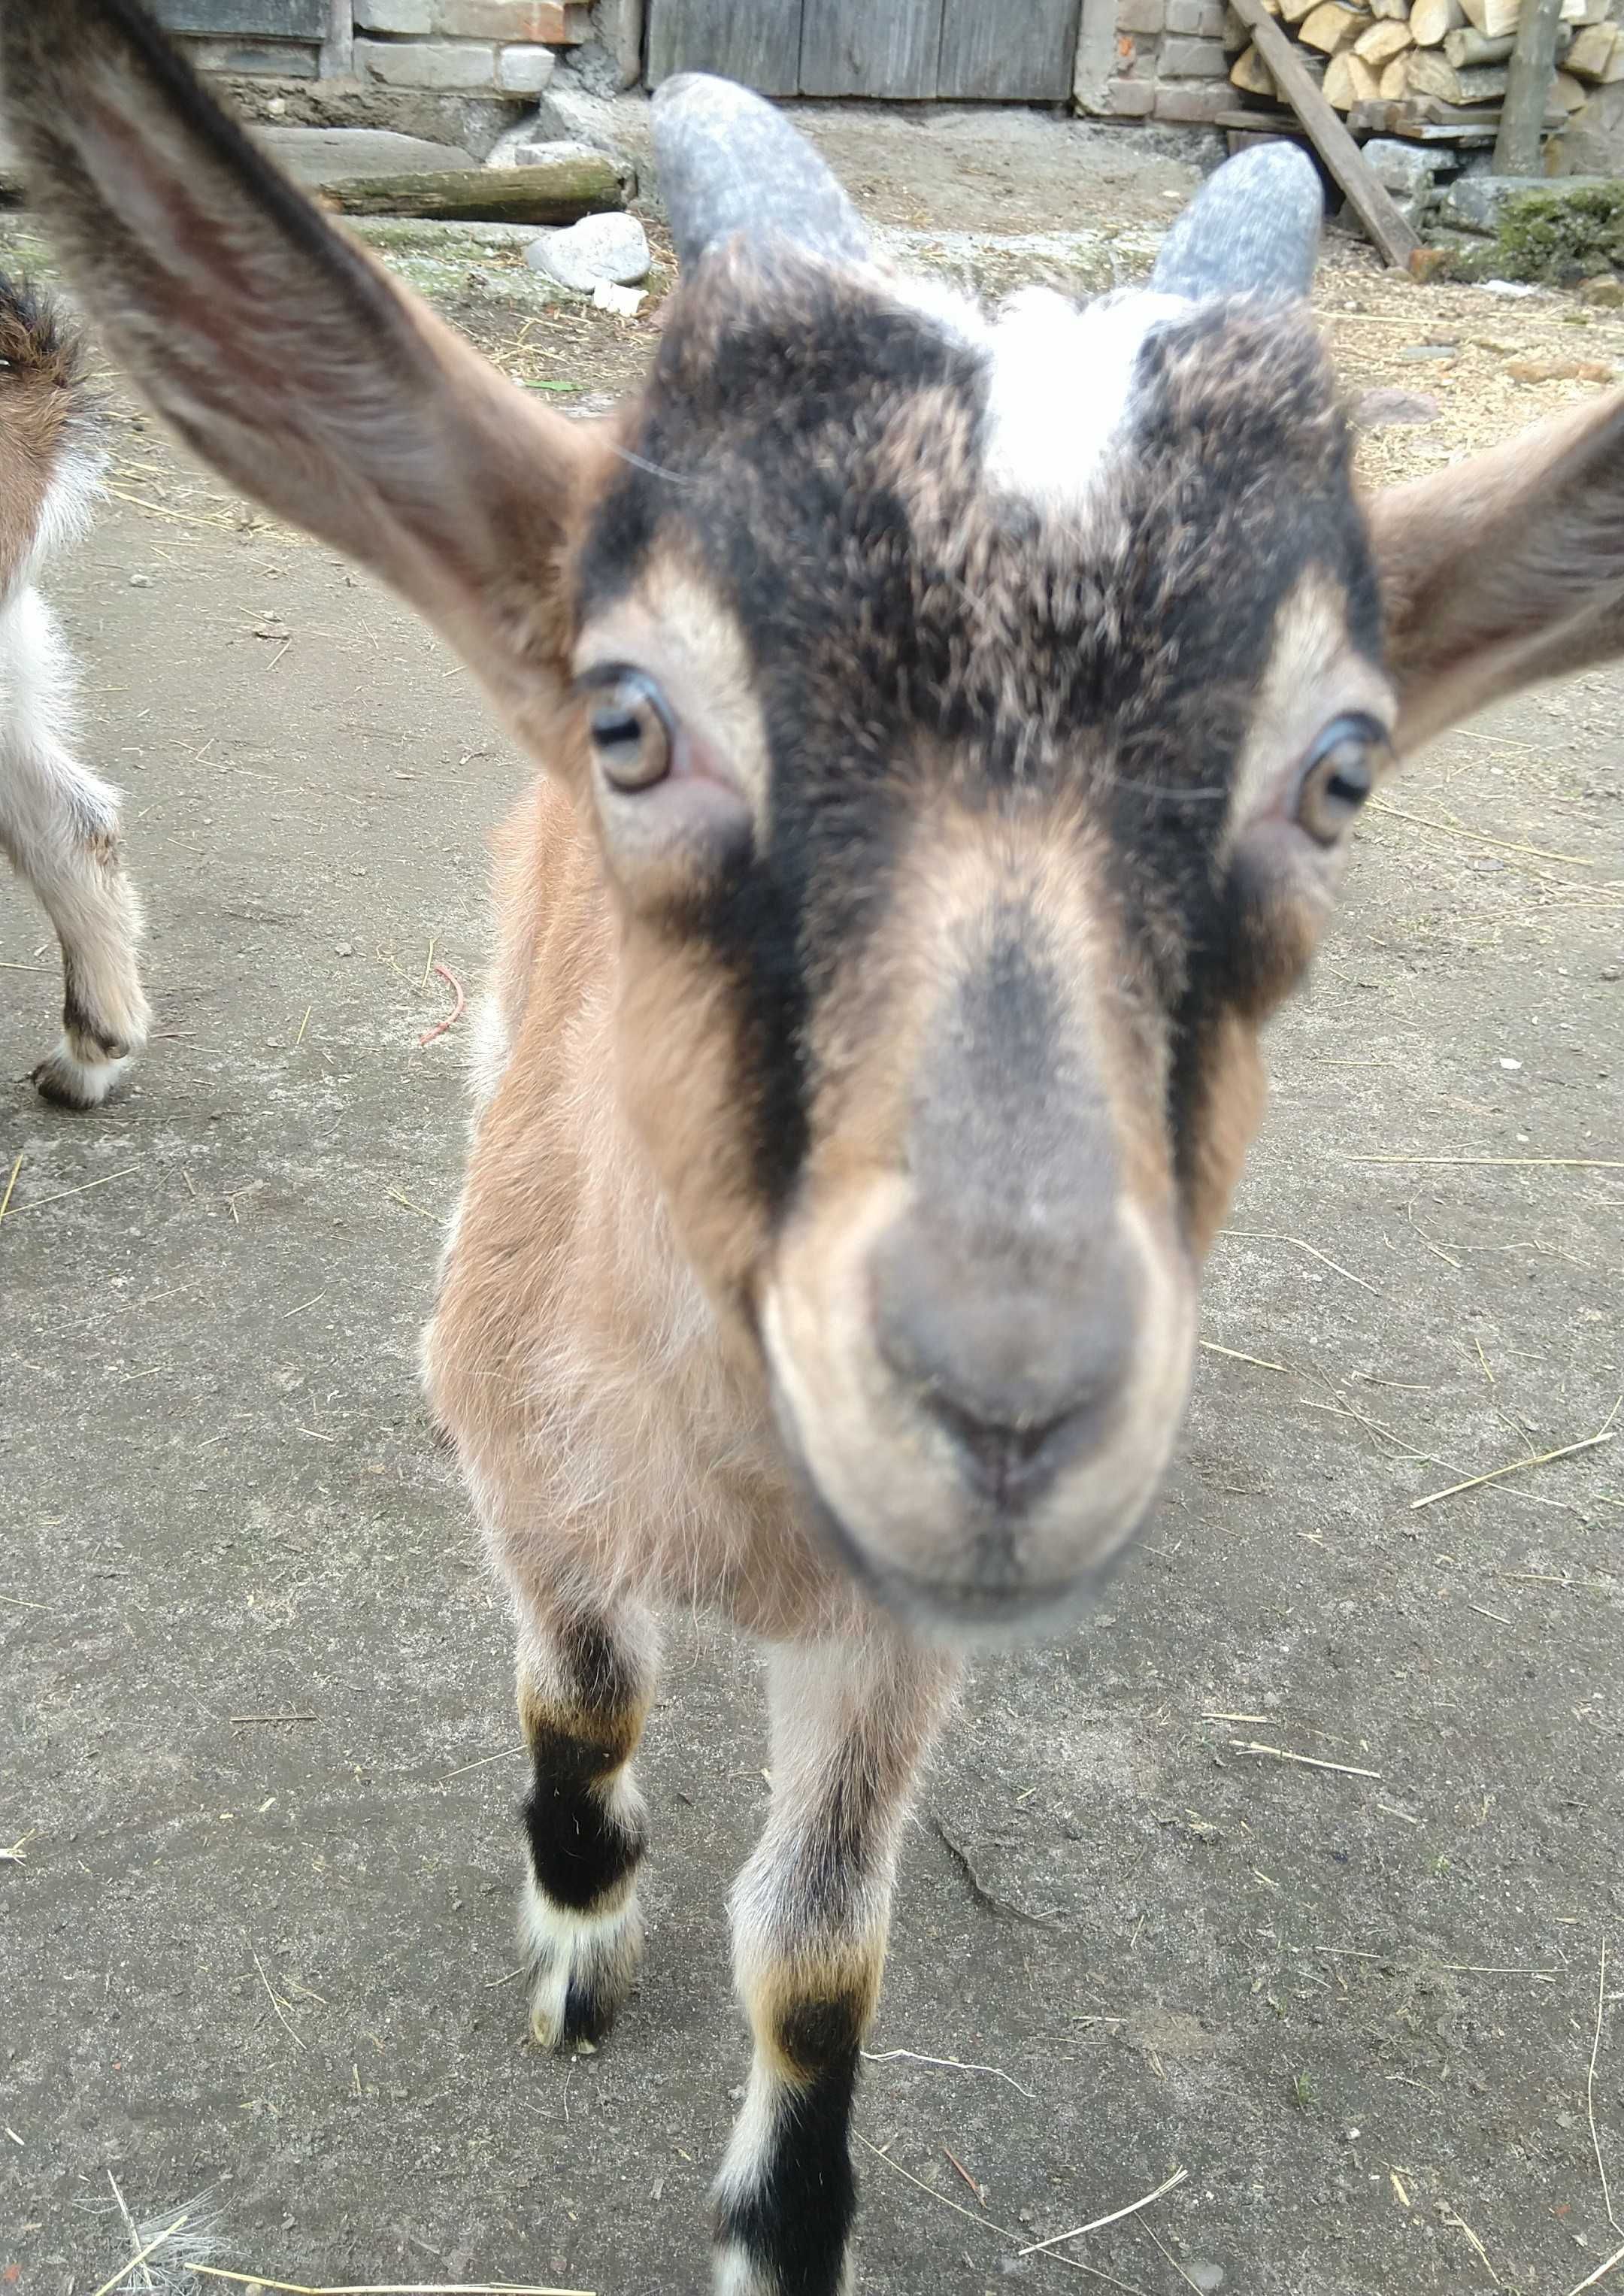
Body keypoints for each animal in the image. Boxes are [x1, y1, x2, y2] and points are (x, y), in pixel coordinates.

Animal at [6, 8, 1616, 2286]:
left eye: (1340, 771)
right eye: (629, 718)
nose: (1008, 1388)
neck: (741, 1519)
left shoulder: (895, 1638)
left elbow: (821, 1947)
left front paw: (782, 2217)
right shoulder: (525, 1468)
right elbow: (584, 1706)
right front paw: (581, 1932)